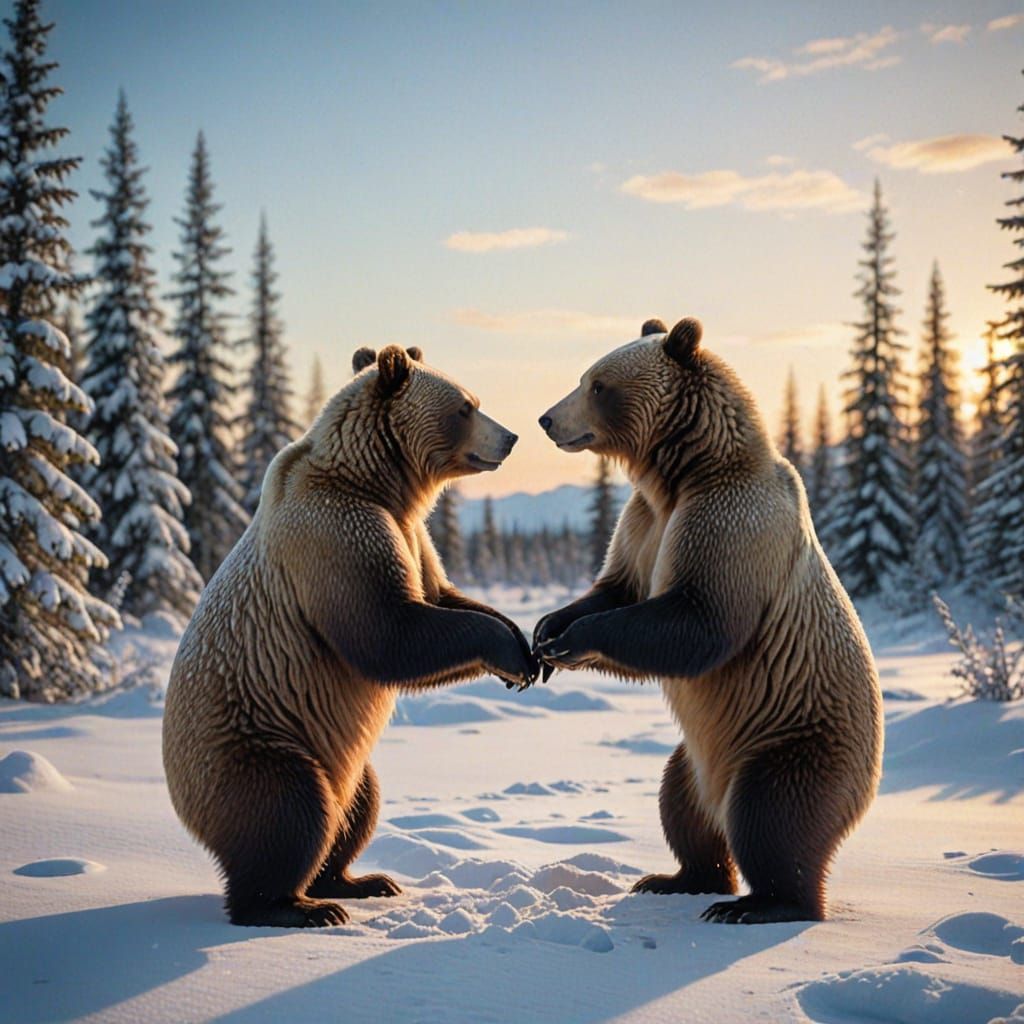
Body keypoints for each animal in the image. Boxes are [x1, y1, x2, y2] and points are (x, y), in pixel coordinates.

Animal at [163, 344, 538, 927]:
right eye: (465, 407)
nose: (510, 436)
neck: (375, 482)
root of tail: (180, 796)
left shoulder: (411, 535)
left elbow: (441, 597)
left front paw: (521, 644)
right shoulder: (340, 533)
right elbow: (389, 632)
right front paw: (511, 653)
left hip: (342, 754)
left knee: (359, 806)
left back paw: (360, 880)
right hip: (256, 746)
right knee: (289, 814)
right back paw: (296, 906)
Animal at [533, 316, 883, 924]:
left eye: (598, 384)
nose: (550, 418)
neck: (680, 474)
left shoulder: (726, 522)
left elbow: (699, 623)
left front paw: (573, 639)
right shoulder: (643, 524)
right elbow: (616, 587)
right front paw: (548, 626)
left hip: (791, 741)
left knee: (774, 820)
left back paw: (761, 904)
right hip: (697, 757)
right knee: (682, 809)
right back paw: (673, 878)